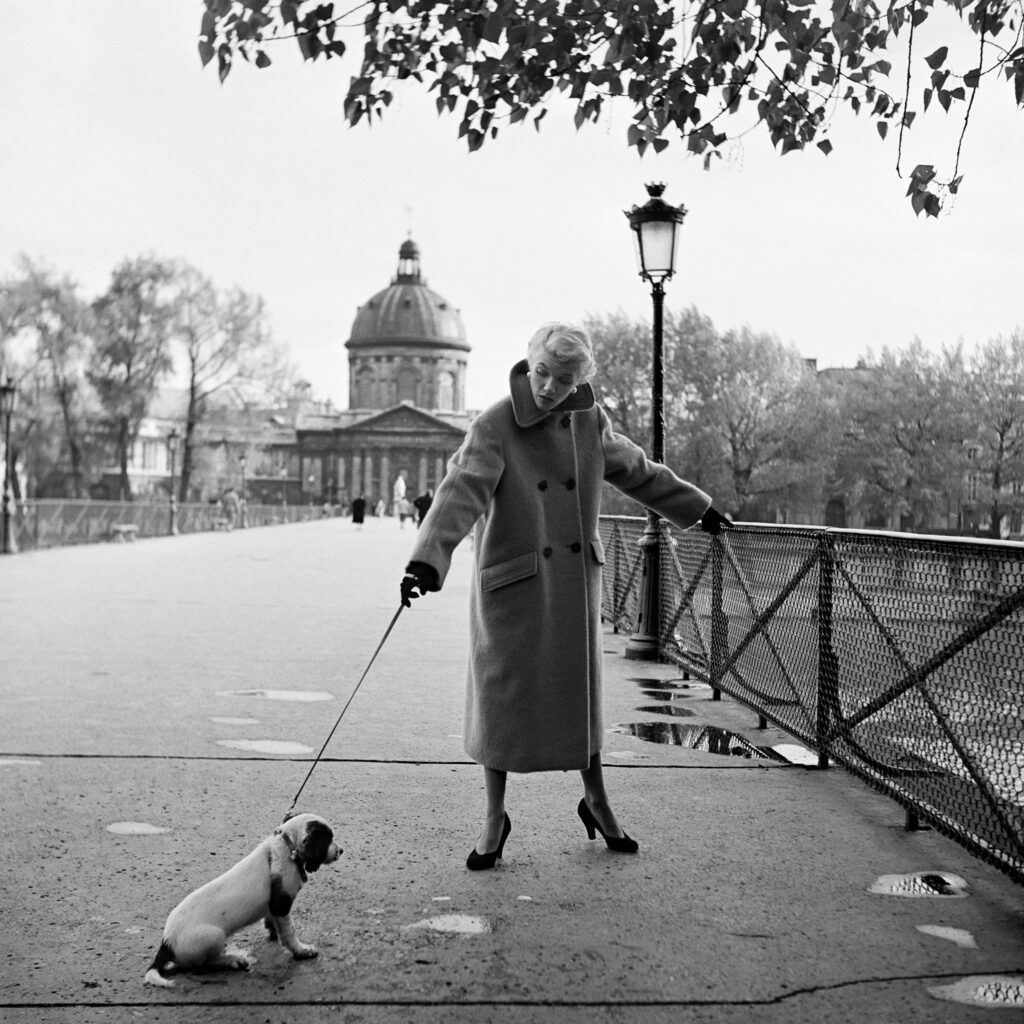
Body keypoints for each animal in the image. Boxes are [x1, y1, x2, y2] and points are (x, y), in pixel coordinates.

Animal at [143, 811, 339, 987]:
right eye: (329, 838)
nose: (341, 850)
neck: (285, 847)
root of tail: (166, 943)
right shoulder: (282, 904)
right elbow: (289, 932)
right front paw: (302, 950)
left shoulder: (273, 905)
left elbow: (273, 921)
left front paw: (272, 931)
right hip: (214, 935)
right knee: (202, 963)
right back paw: (232, 960)